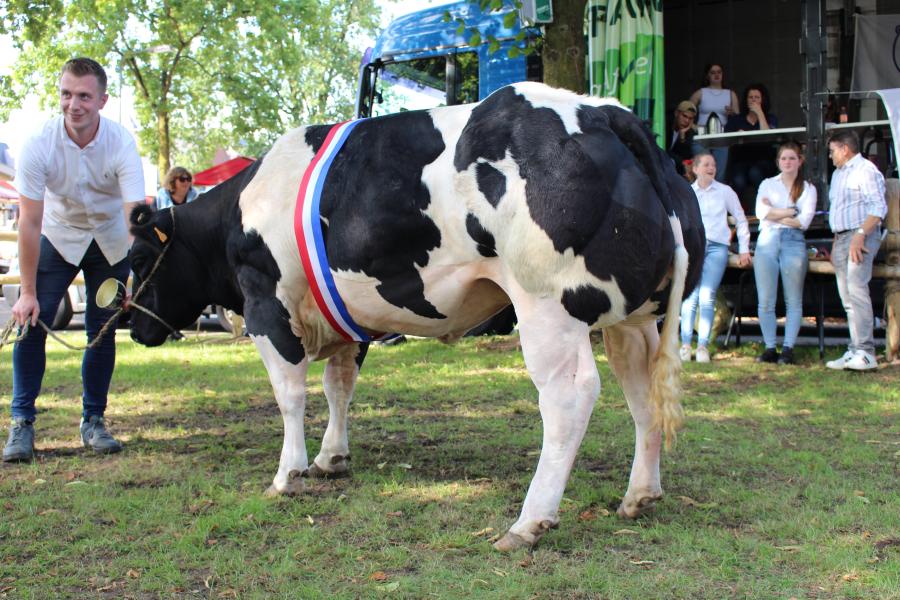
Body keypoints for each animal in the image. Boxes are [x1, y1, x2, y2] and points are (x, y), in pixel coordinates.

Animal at [128, 82, 704, 552]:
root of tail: (606, 113)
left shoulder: (267, 304)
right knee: (642, 394)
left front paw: (287, 474)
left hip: (545, 305)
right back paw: (639, 495)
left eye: (138, 259)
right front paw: (331, 459)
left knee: (569, 396)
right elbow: (339, 387)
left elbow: (290, 396)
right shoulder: (349, 315)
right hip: (634, 319)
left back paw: (529, 522)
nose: (133, 326)